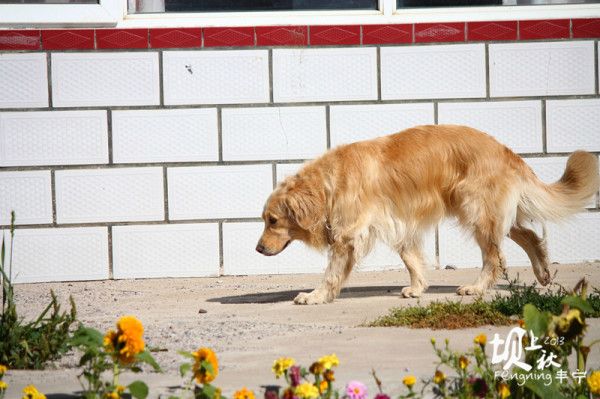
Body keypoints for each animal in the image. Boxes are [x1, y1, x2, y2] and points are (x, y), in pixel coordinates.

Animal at [254, 126, 600, 304]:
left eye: (273, 220)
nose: (257, 249)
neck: (330, 183)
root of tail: (506, 151)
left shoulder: (348, 236)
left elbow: (332, 273)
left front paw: (315, 295)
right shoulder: (399, 224)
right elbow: (412, 260)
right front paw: (419, 287)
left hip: (477, 211)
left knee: (495, 256)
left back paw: (476, 288)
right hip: (490, 212)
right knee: (528, 234)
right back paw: (542, 272)